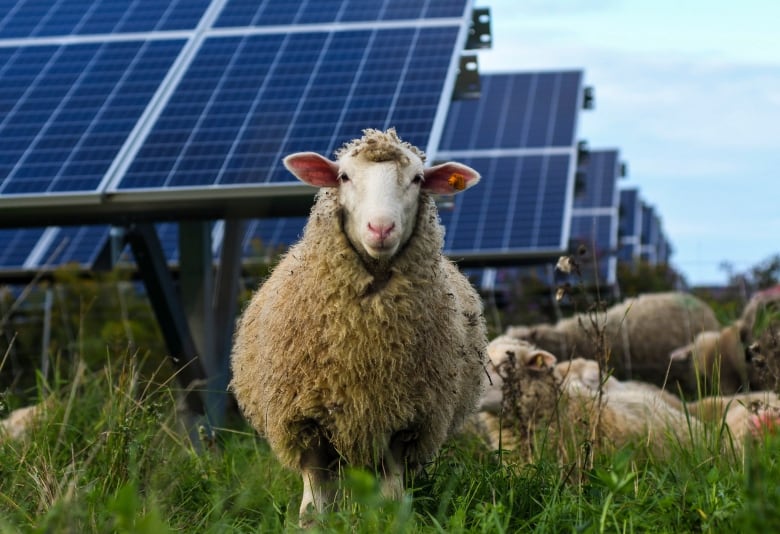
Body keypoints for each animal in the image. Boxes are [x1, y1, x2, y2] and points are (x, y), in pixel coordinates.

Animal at [229, 131, 488, 528]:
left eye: (417, 179)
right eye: (344, 177)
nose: (380, 228)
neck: (362, 344)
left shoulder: (404, 423)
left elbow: (393, 500)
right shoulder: (306, 424)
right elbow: (312, 508)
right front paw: (313, 526)